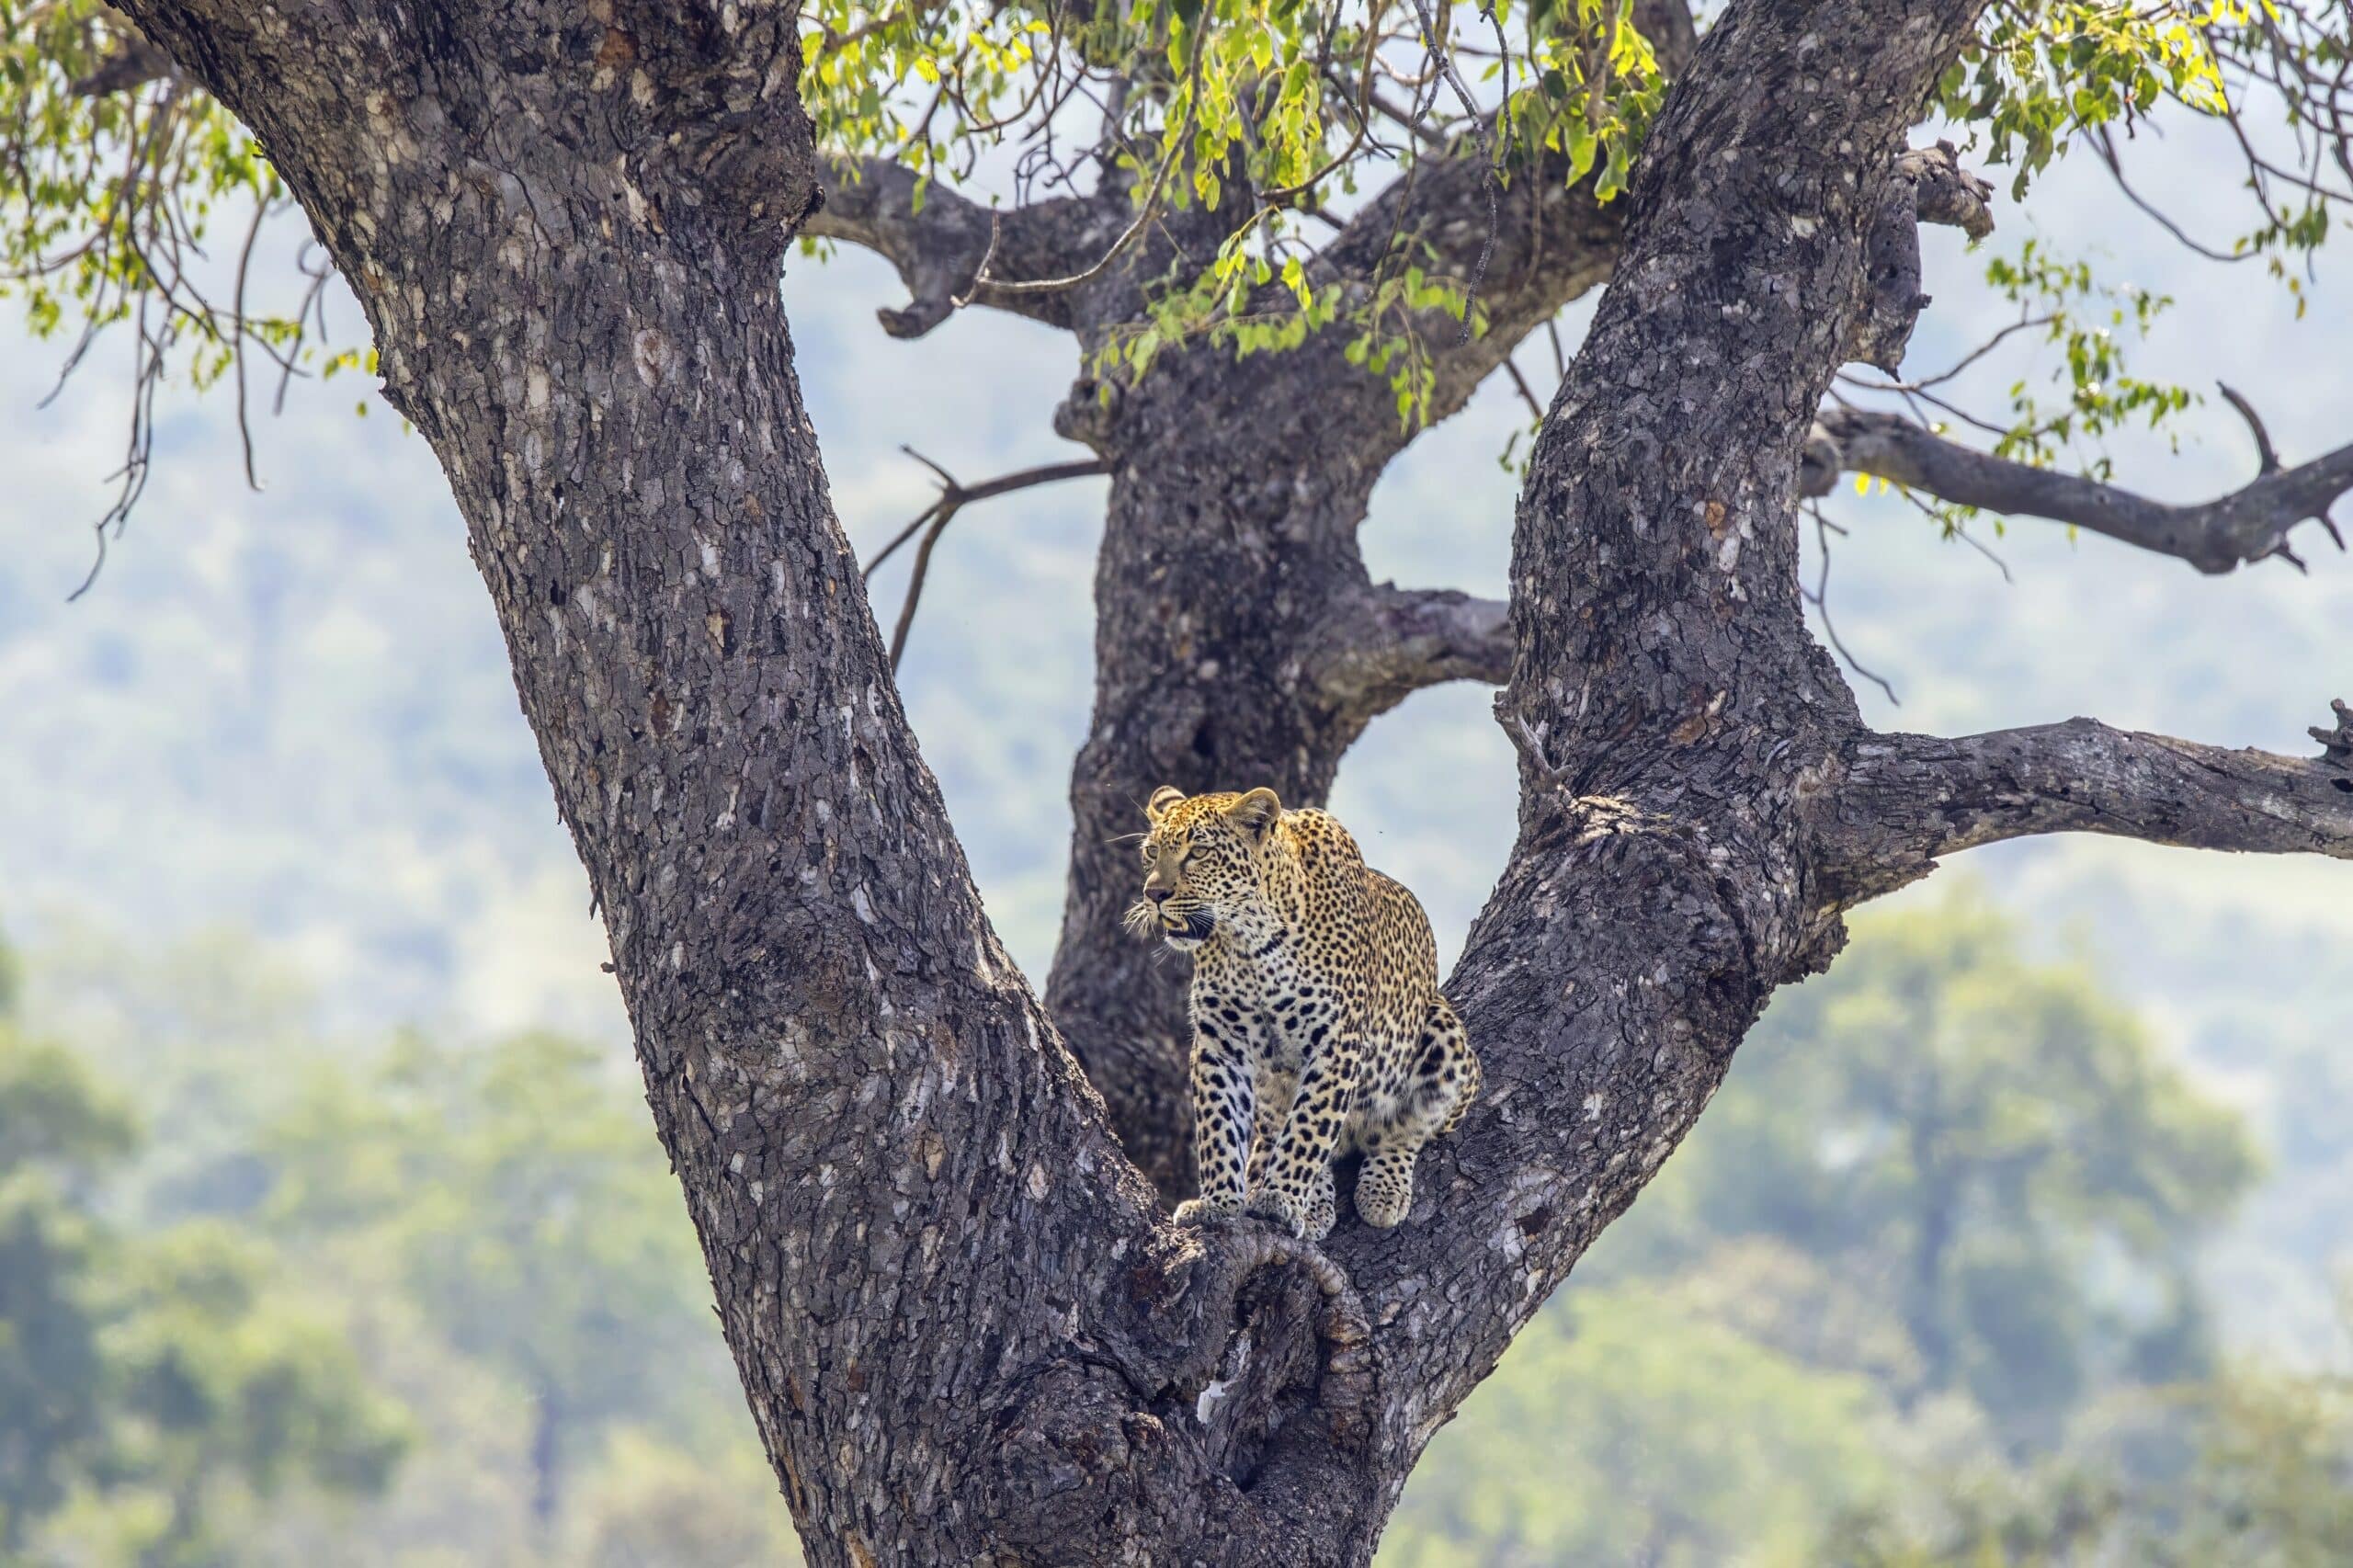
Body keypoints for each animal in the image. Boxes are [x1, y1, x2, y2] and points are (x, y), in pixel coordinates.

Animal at [1126, 785, 1481, 1242]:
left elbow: (1310, 1126)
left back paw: (1382, 1190)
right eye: (1152, 853)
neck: (1248, 941)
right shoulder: (1220, 1042)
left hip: (1444, 1035)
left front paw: (1279, 1200)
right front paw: (1219, 1204)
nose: (1153, 896)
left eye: (1199, 852)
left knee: (1403, 1129)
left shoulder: (1337, 1041)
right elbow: (1221, 1126)